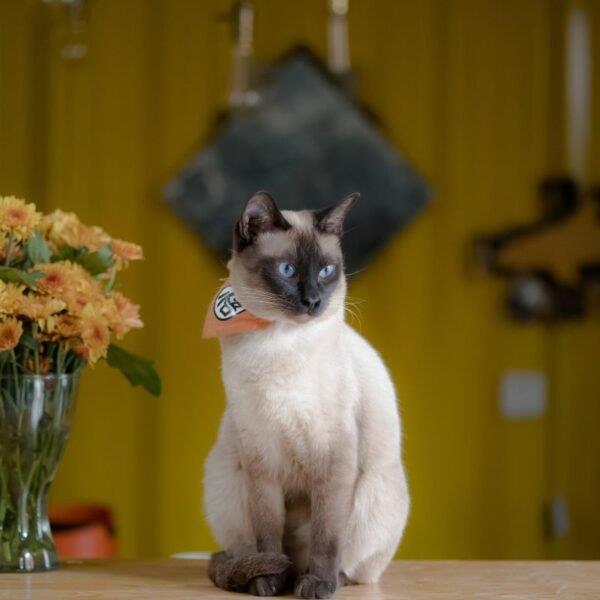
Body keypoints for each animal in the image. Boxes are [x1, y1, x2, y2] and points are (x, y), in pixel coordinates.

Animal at [204, 193, 410, 600]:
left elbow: (327, 537)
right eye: (287, 270)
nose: (313, 300)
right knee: (252, 550)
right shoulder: (260, 457)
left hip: (372, 496)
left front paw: (318, 586)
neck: (278, 345)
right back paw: (279, 576)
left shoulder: (333, 457)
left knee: (353, 564)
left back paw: (321, 579)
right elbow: (268, 534)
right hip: (226, 480)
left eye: (327, 271)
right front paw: (269, 583)